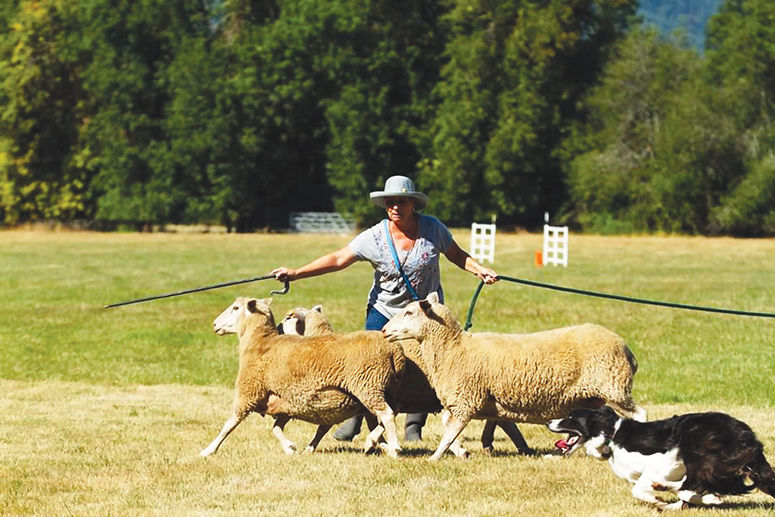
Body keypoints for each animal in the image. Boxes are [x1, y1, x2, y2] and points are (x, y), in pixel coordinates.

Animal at [200, 297, 405, 458]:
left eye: (235, 308)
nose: (214, 324)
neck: (261, 343)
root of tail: (393, 350)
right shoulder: (286, 401)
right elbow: (276, 428)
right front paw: (290, 448)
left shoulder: (248, 392)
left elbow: (229, 425)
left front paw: (208, 450)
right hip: (384, 389)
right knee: (389, 414)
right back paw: (377, 444)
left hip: (368, 385)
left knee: (387, 415)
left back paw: (393, 448)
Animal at [278, 304, 532, 457]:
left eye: (289, 317)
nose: (279, 328)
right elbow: (373, 422)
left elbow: (376, 422)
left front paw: (379, 445)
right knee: (499, 417)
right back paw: (505, 446)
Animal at [382, 292, 647, 460]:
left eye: (409, 312)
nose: (384, 330)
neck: (453, 348)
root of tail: (626, 349)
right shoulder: (481, 400)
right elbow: (479, 425)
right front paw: (480, 448)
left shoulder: (466, 399)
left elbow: (449, 434)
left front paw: (435, 458)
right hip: (595, 396)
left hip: (614, 388)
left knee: (639, 414)